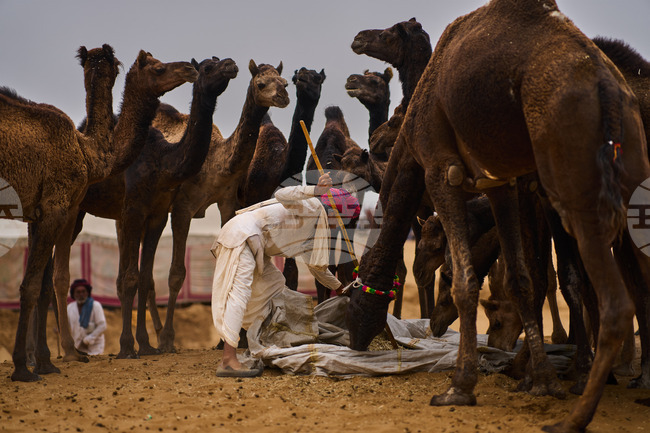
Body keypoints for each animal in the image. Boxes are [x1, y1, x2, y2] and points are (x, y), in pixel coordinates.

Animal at [0, 44, 121, 382]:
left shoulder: (35, 212)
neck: (84, 148)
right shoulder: (56, 205)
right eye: (117, 65)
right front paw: (23, 368)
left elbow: (42, 285)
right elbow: (31, 286)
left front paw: (44, 361)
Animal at [149, 60, 289, 352]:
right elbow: (176, 273)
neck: (217, 163)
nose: (283, 96)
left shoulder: (226, 203)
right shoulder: (182, 208)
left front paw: (229, 338)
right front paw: (168, 339)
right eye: (261, 83)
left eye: (284, 81)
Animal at [346, 2, 650, 432]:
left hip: (572, 179)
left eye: (353, 293)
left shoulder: (443, 169)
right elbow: (522, 280)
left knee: (614, 299)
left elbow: (467, 280)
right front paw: (542, 380)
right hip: (631, 178)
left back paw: (576, 413)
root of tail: (608, 87)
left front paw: (461, 386)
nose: (355, 339)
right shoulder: (500, 182)